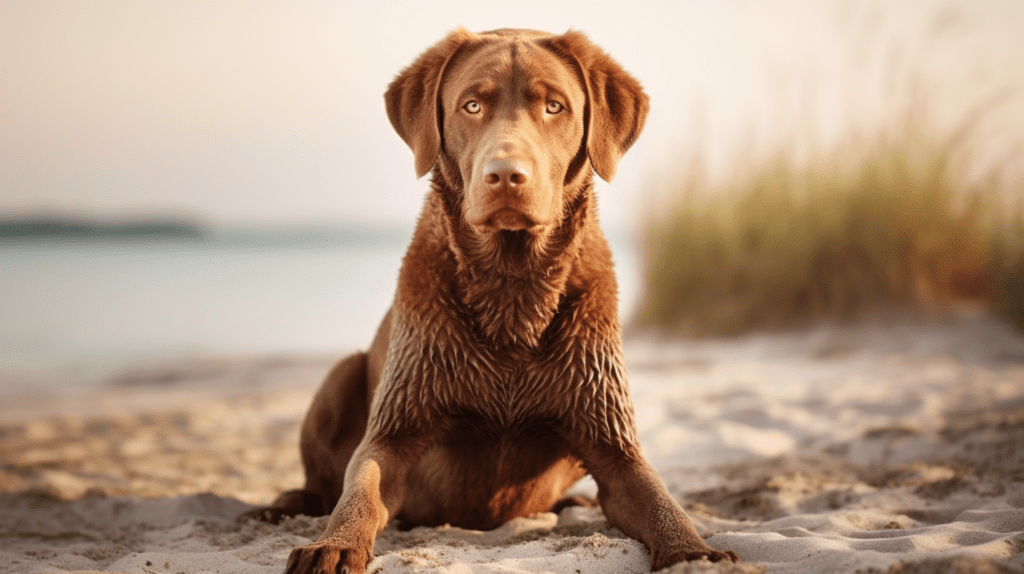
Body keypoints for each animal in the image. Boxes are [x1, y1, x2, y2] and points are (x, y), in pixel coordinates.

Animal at [249, 28, 745, 572]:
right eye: (471, 105)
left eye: (554, 106)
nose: (506, 174)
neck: (512, 286)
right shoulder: (395, 428)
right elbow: (361, 490)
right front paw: (334, 544)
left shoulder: (612, 439)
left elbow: (661, 504)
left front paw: (694, 553)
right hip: (341, 375)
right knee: (323, 482)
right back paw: (281, 505)